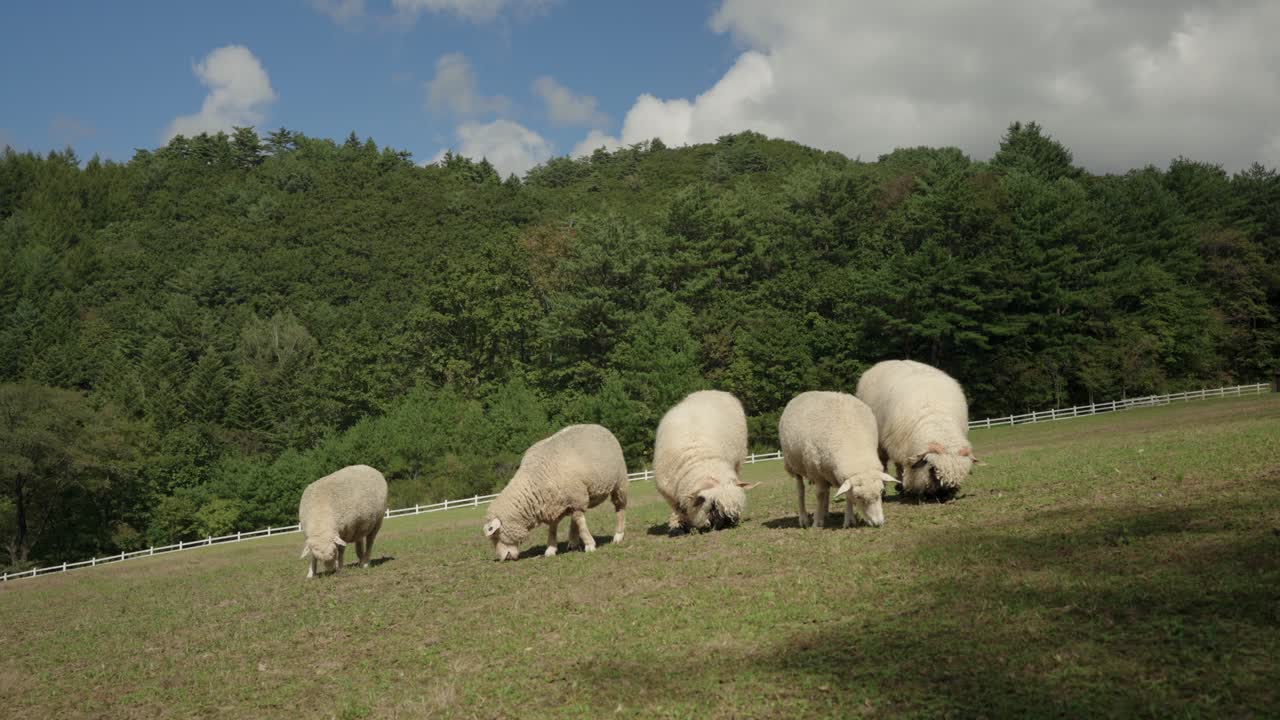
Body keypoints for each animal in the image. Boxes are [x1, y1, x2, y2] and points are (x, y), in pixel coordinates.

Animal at [482, 424, 628, 562]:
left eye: (496, 535)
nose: (503, 558)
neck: (535, 479)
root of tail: (600, 427)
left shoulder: (576, 498)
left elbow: (580, 522)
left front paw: (589, 545)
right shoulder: (553, 503)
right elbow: (553, 527)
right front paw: (551, 549)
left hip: (619, 482)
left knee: (619, 508)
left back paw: (618, 535)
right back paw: (573, 542)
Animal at [653, 390, 758, 534]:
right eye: (713, 505)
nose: (728, 522)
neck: (701, 460)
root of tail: (712, 391)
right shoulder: (668, 492)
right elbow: (678, 509)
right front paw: (678, 526)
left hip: (739, 460)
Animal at [778, 391, 895, 529]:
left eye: (882, 491)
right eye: (858, 497)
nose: (878, 523)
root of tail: (803, 394)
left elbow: (846, 495)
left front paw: (849, 519)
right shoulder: (816, 473)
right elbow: (819, 495)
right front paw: (817, 522)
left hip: (825, 470)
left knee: (826, 491)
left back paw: (825, 513)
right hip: (795, 465)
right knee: (801, 490)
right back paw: (804, 519)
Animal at [855, 360, 980, 499]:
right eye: (933, 470)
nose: (944, 495)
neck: (937, 420)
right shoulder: (899, 445)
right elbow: (901, 467)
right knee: (883, 462)